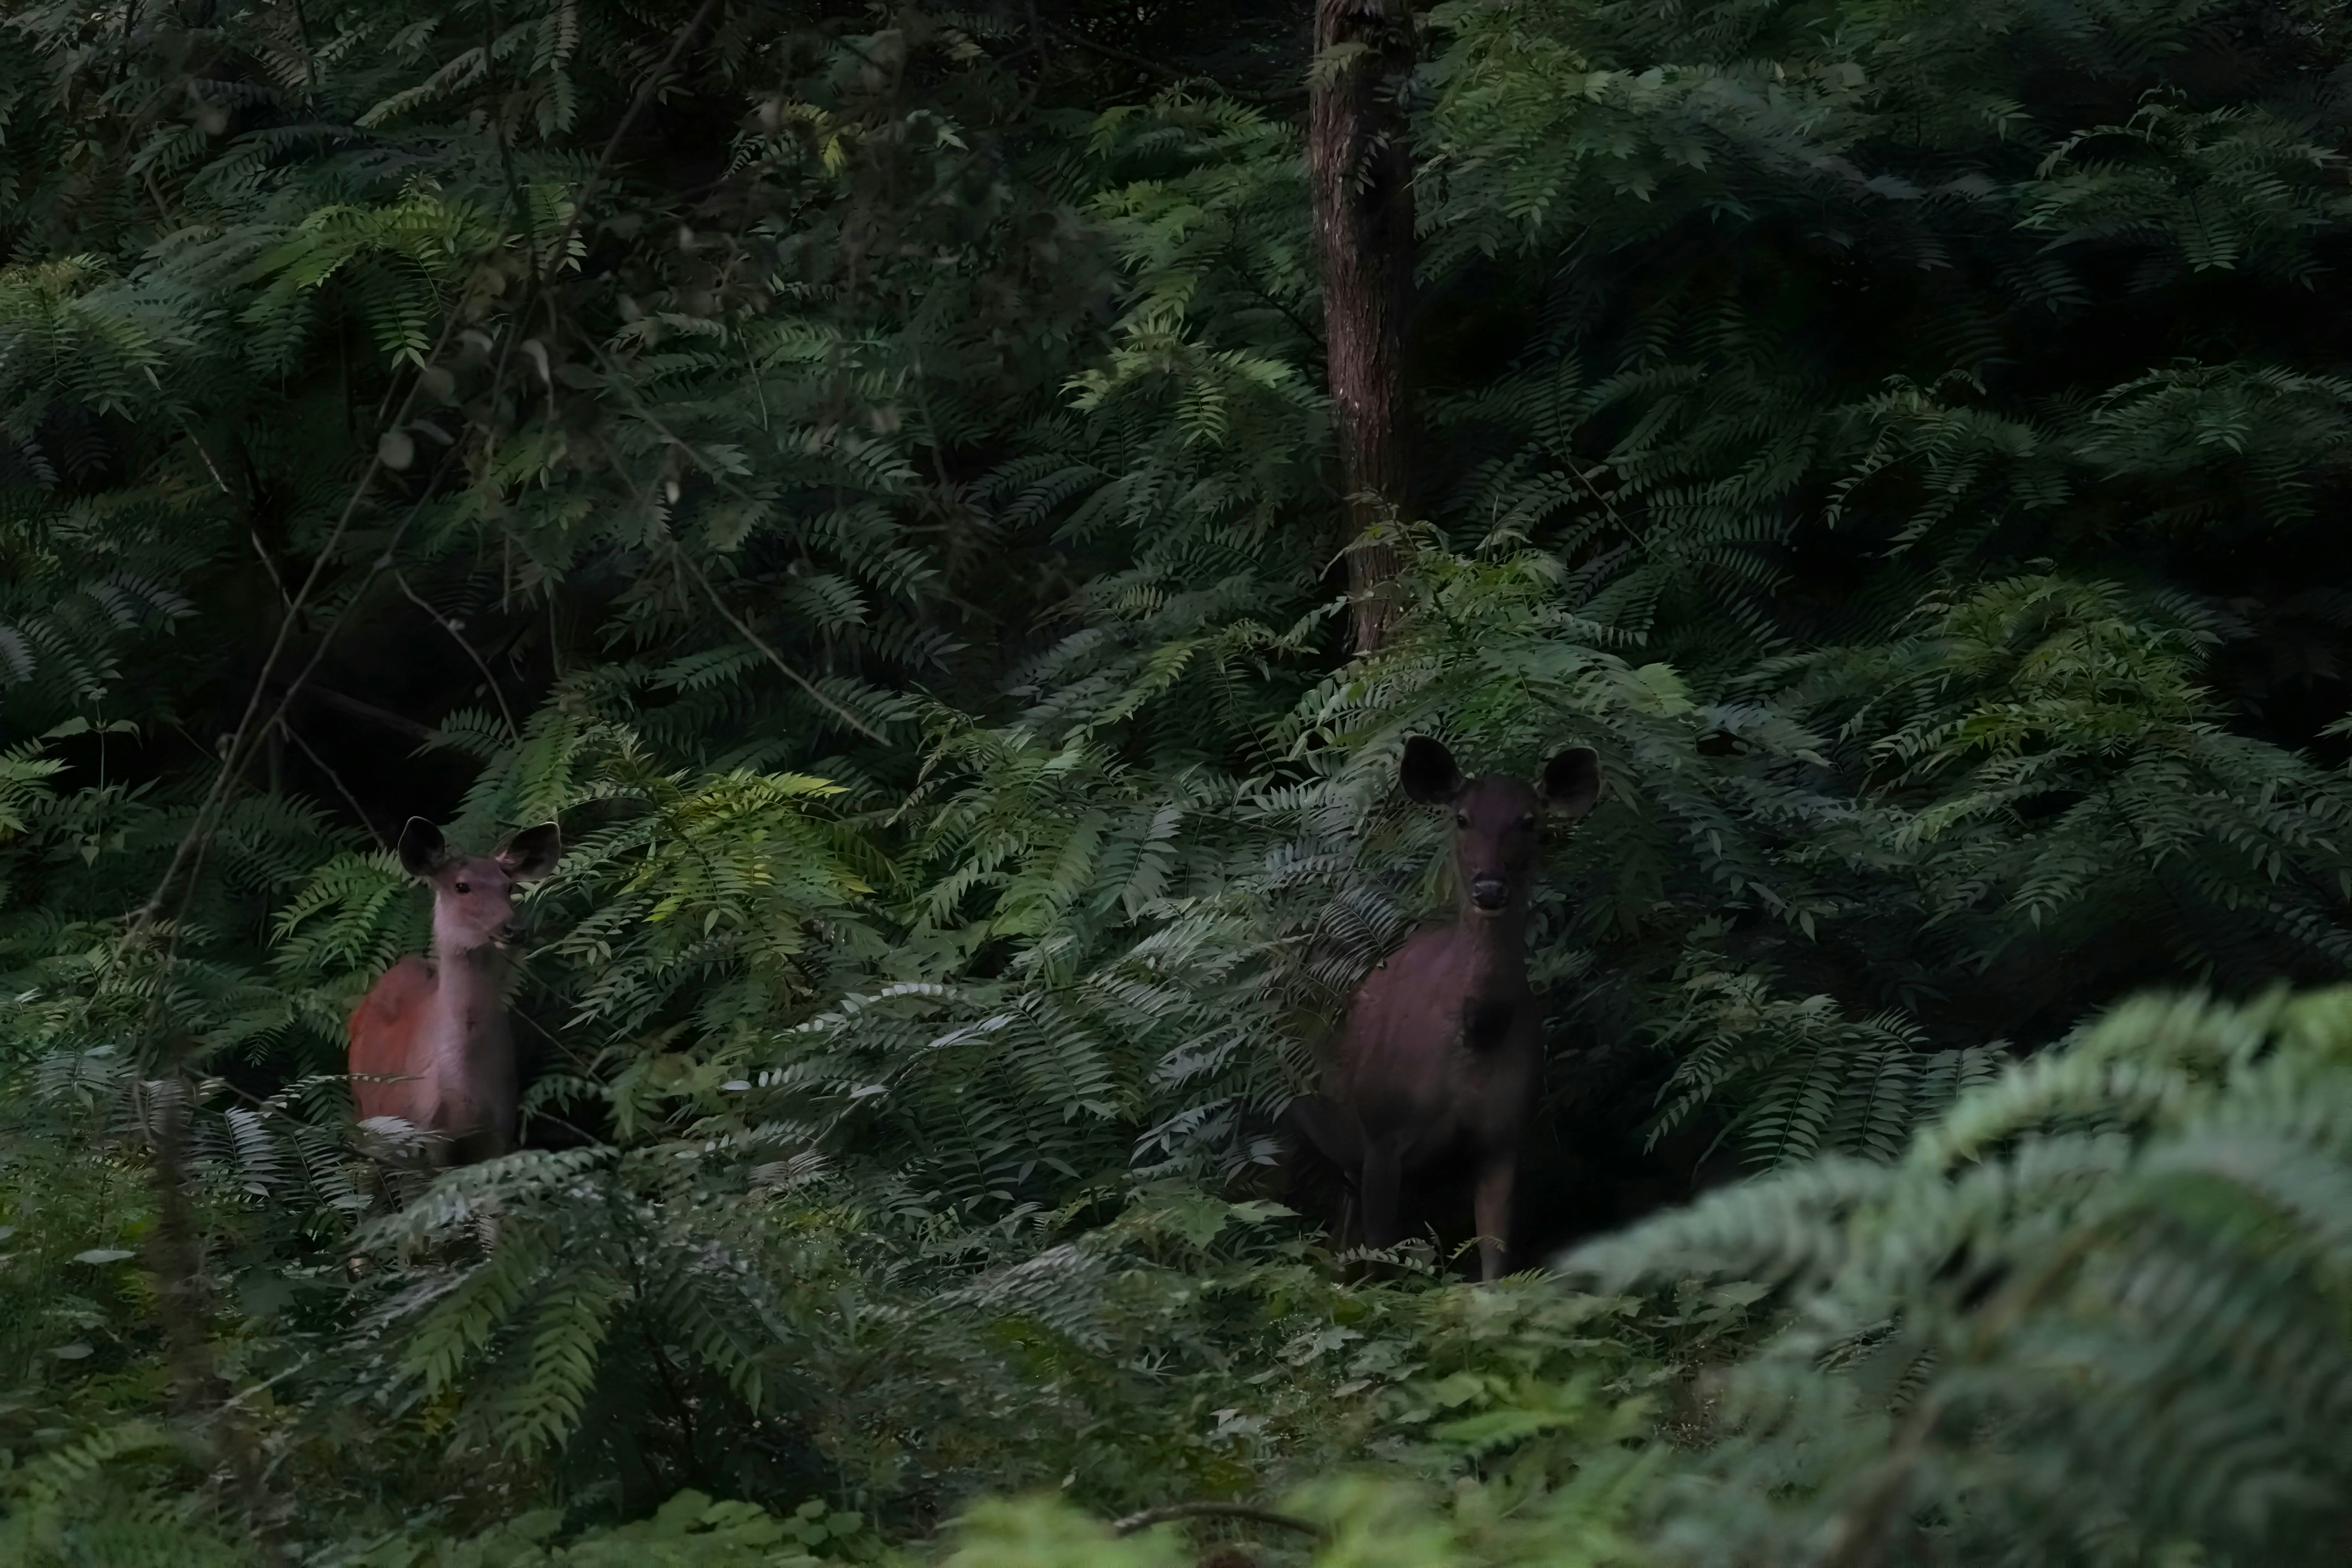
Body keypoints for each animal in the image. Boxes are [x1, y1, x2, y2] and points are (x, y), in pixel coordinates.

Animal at [347, 816, 562, 1166]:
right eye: (462, 886)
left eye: (509, 887)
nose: (513, 929)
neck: (463, 1093)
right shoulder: (422, 1137)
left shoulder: (498, 1132)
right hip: (368, 1116)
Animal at [1290, 736, 1601, 1281]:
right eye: (1461, 817)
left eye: (1529, 820)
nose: (1488, 887)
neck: (1475, 1034)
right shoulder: (1381, 1135)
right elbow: (1381, 1260)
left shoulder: (1502, 1135)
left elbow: (1494, 1264)